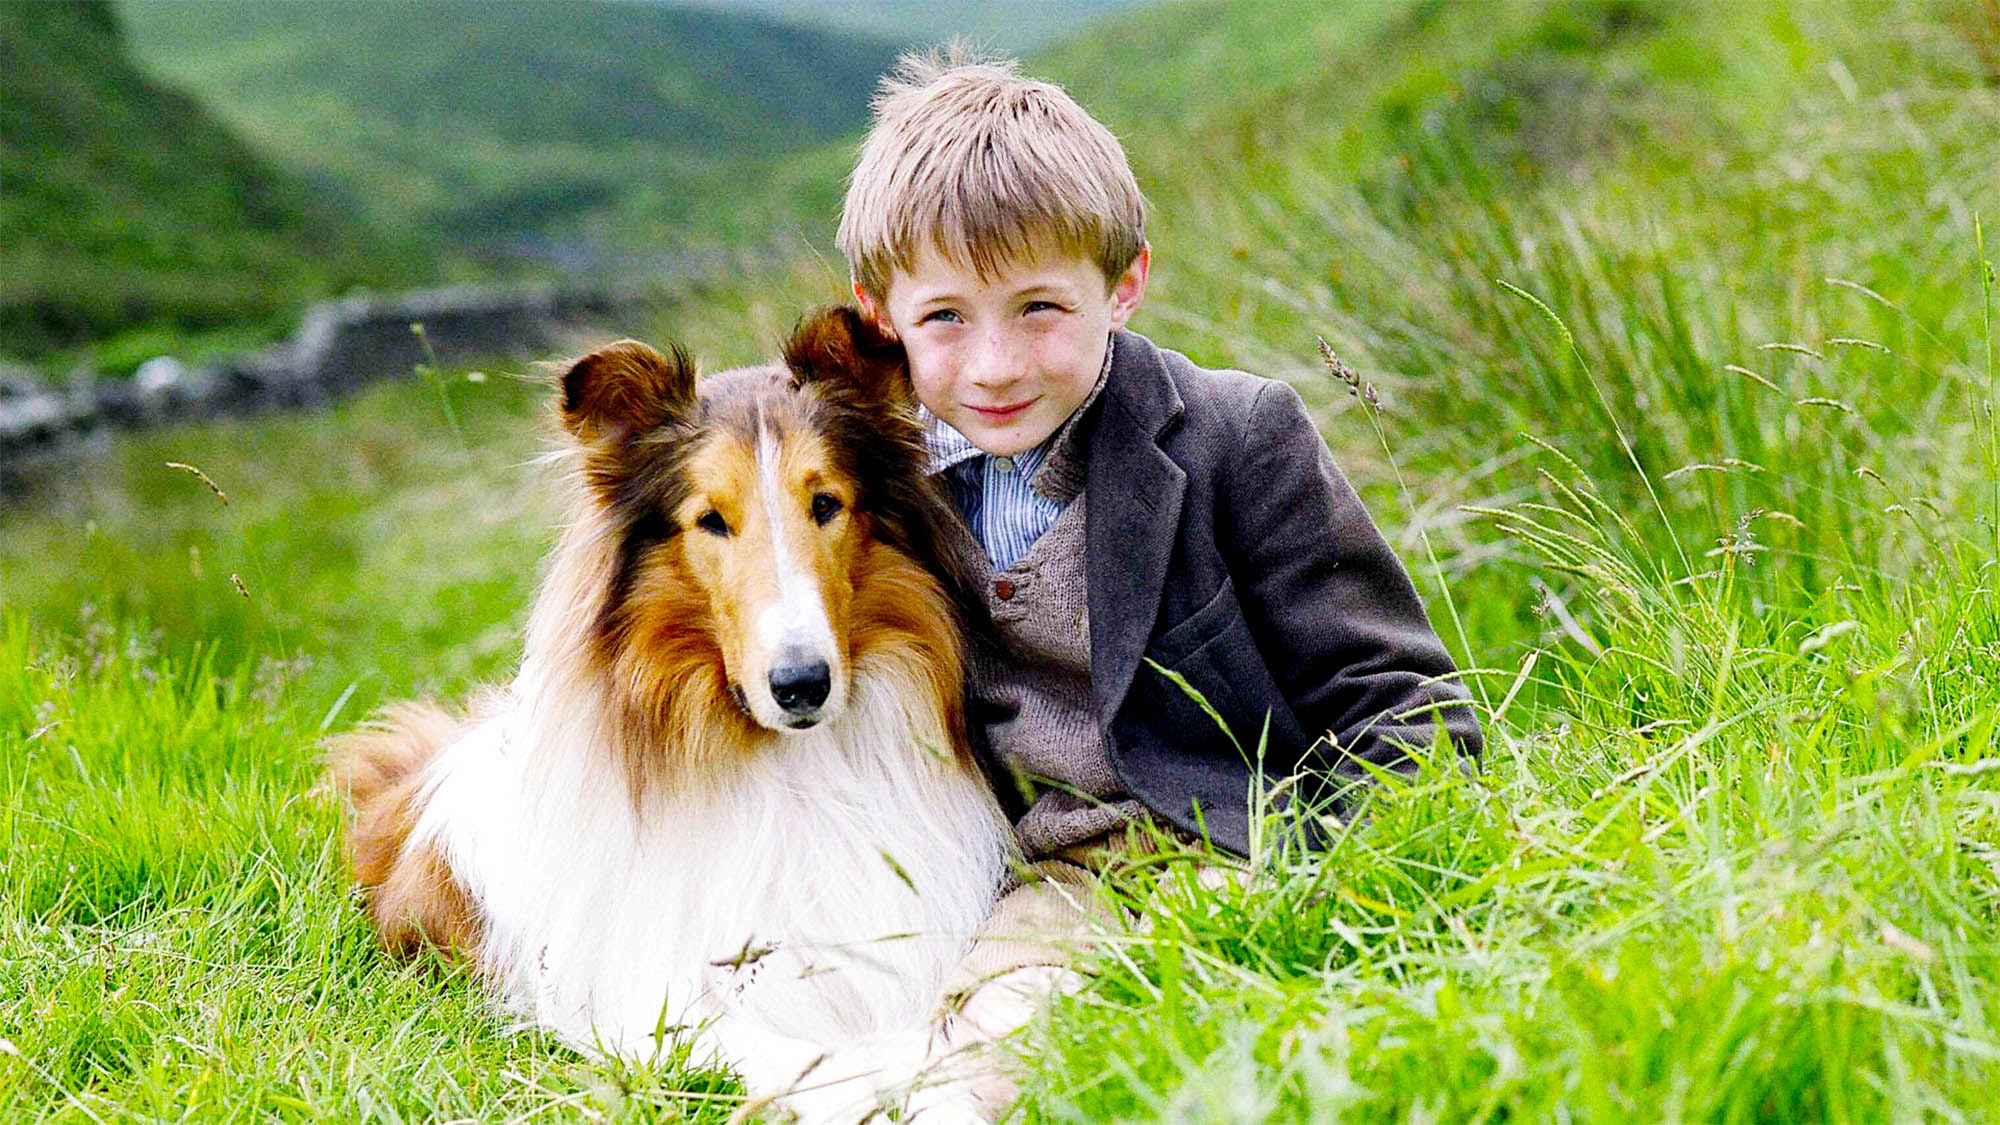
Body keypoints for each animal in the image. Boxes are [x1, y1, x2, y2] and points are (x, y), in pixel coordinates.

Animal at [334, 306, 1016, 1120]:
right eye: (711, 520)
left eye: (825, 504)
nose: (801, 685)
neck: (797, 773)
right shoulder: (658, 1003)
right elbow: (816, 1060)